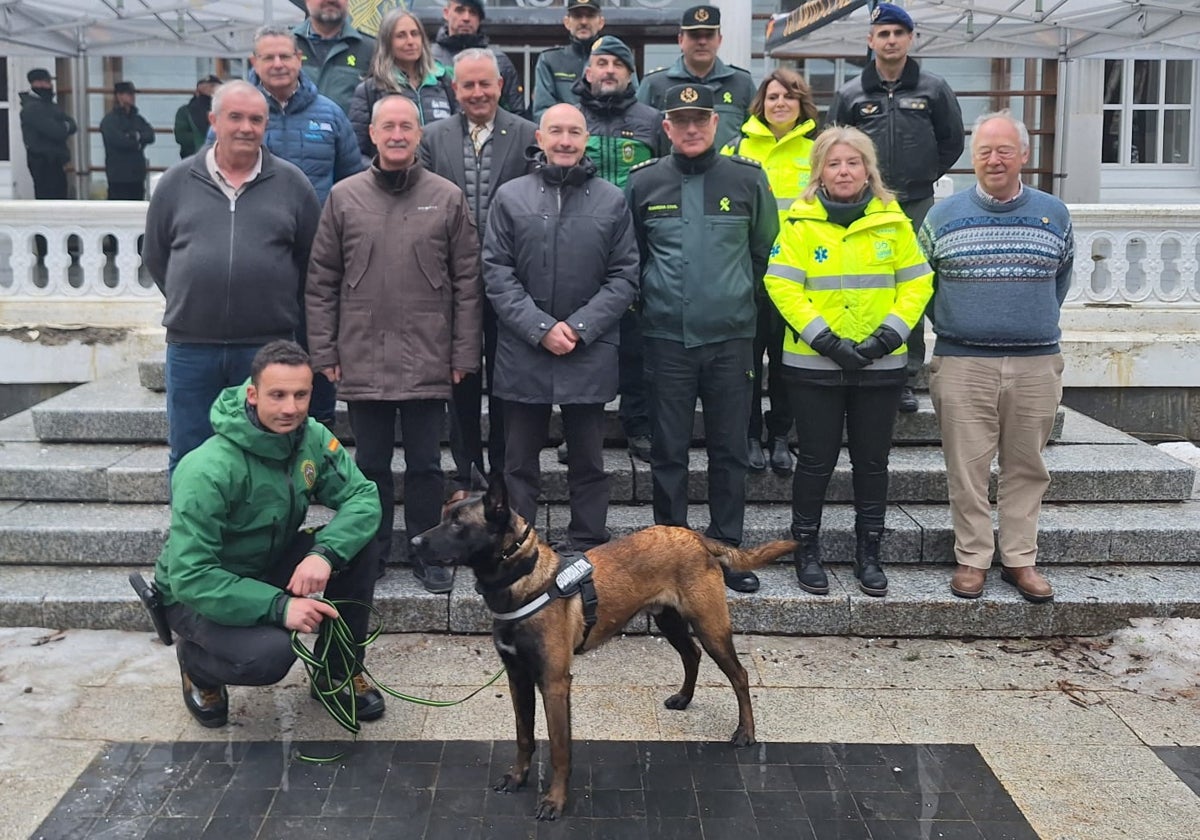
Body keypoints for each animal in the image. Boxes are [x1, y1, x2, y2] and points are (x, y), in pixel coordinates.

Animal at [410, 472, 796, 820]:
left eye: (458, 524)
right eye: (444, 515)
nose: (413, 542)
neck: (525, 580)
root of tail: (694, 535)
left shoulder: (554, 684)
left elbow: (559, 749)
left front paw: (555, 801)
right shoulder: (518, 677)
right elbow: (524, 736)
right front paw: (518, 777)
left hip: (711, 626)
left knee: (739, 675)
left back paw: (746, 732)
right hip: (669, 620)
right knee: (692, 654)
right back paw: (684, 698)